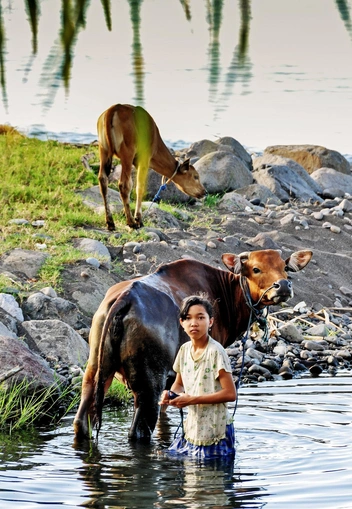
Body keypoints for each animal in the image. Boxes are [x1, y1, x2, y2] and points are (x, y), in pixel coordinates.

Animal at [73, 249, 310, 440]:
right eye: (256, 268)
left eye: (284, 268)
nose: (283, 286)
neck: (225, 294)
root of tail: (125, 297)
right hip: (148, 384)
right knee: (139, 431)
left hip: (95, 371)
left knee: (81, 420)